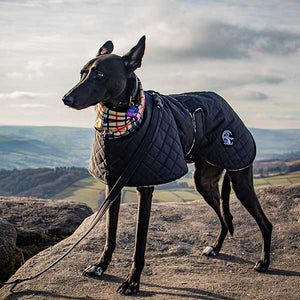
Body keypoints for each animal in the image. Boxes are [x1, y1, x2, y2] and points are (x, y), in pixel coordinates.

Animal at [62, 35, 274, 296]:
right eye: (82, 73)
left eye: (99, 75)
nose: (66, 99)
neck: (121, 121)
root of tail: (225, 103)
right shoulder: (113, 186)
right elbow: (110, 235)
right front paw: (101, 266)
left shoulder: (145, 189)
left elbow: (139, 244)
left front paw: (132, 282)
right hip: (204, 181)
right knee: (225, 218)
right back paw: (215, 248)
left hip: (240, 178)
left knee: (265, 223)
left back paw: (264, 262)